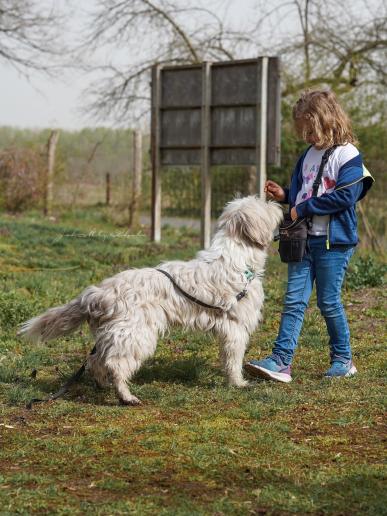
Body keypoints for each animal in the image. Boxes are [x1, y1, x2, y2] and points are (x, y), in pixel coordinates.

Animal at [19, 196, 282, 406]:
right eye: (262, 203)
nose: (277, 202)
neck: (236, 258)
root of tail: (97, 292)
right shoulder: (235, 328)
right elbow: (233, 359)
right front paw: (238, 383)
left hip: (112, 335)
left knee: (95, 361)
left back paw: (102, 384)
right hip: (134, 335)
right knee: (115, 364)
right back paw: (126, 396)